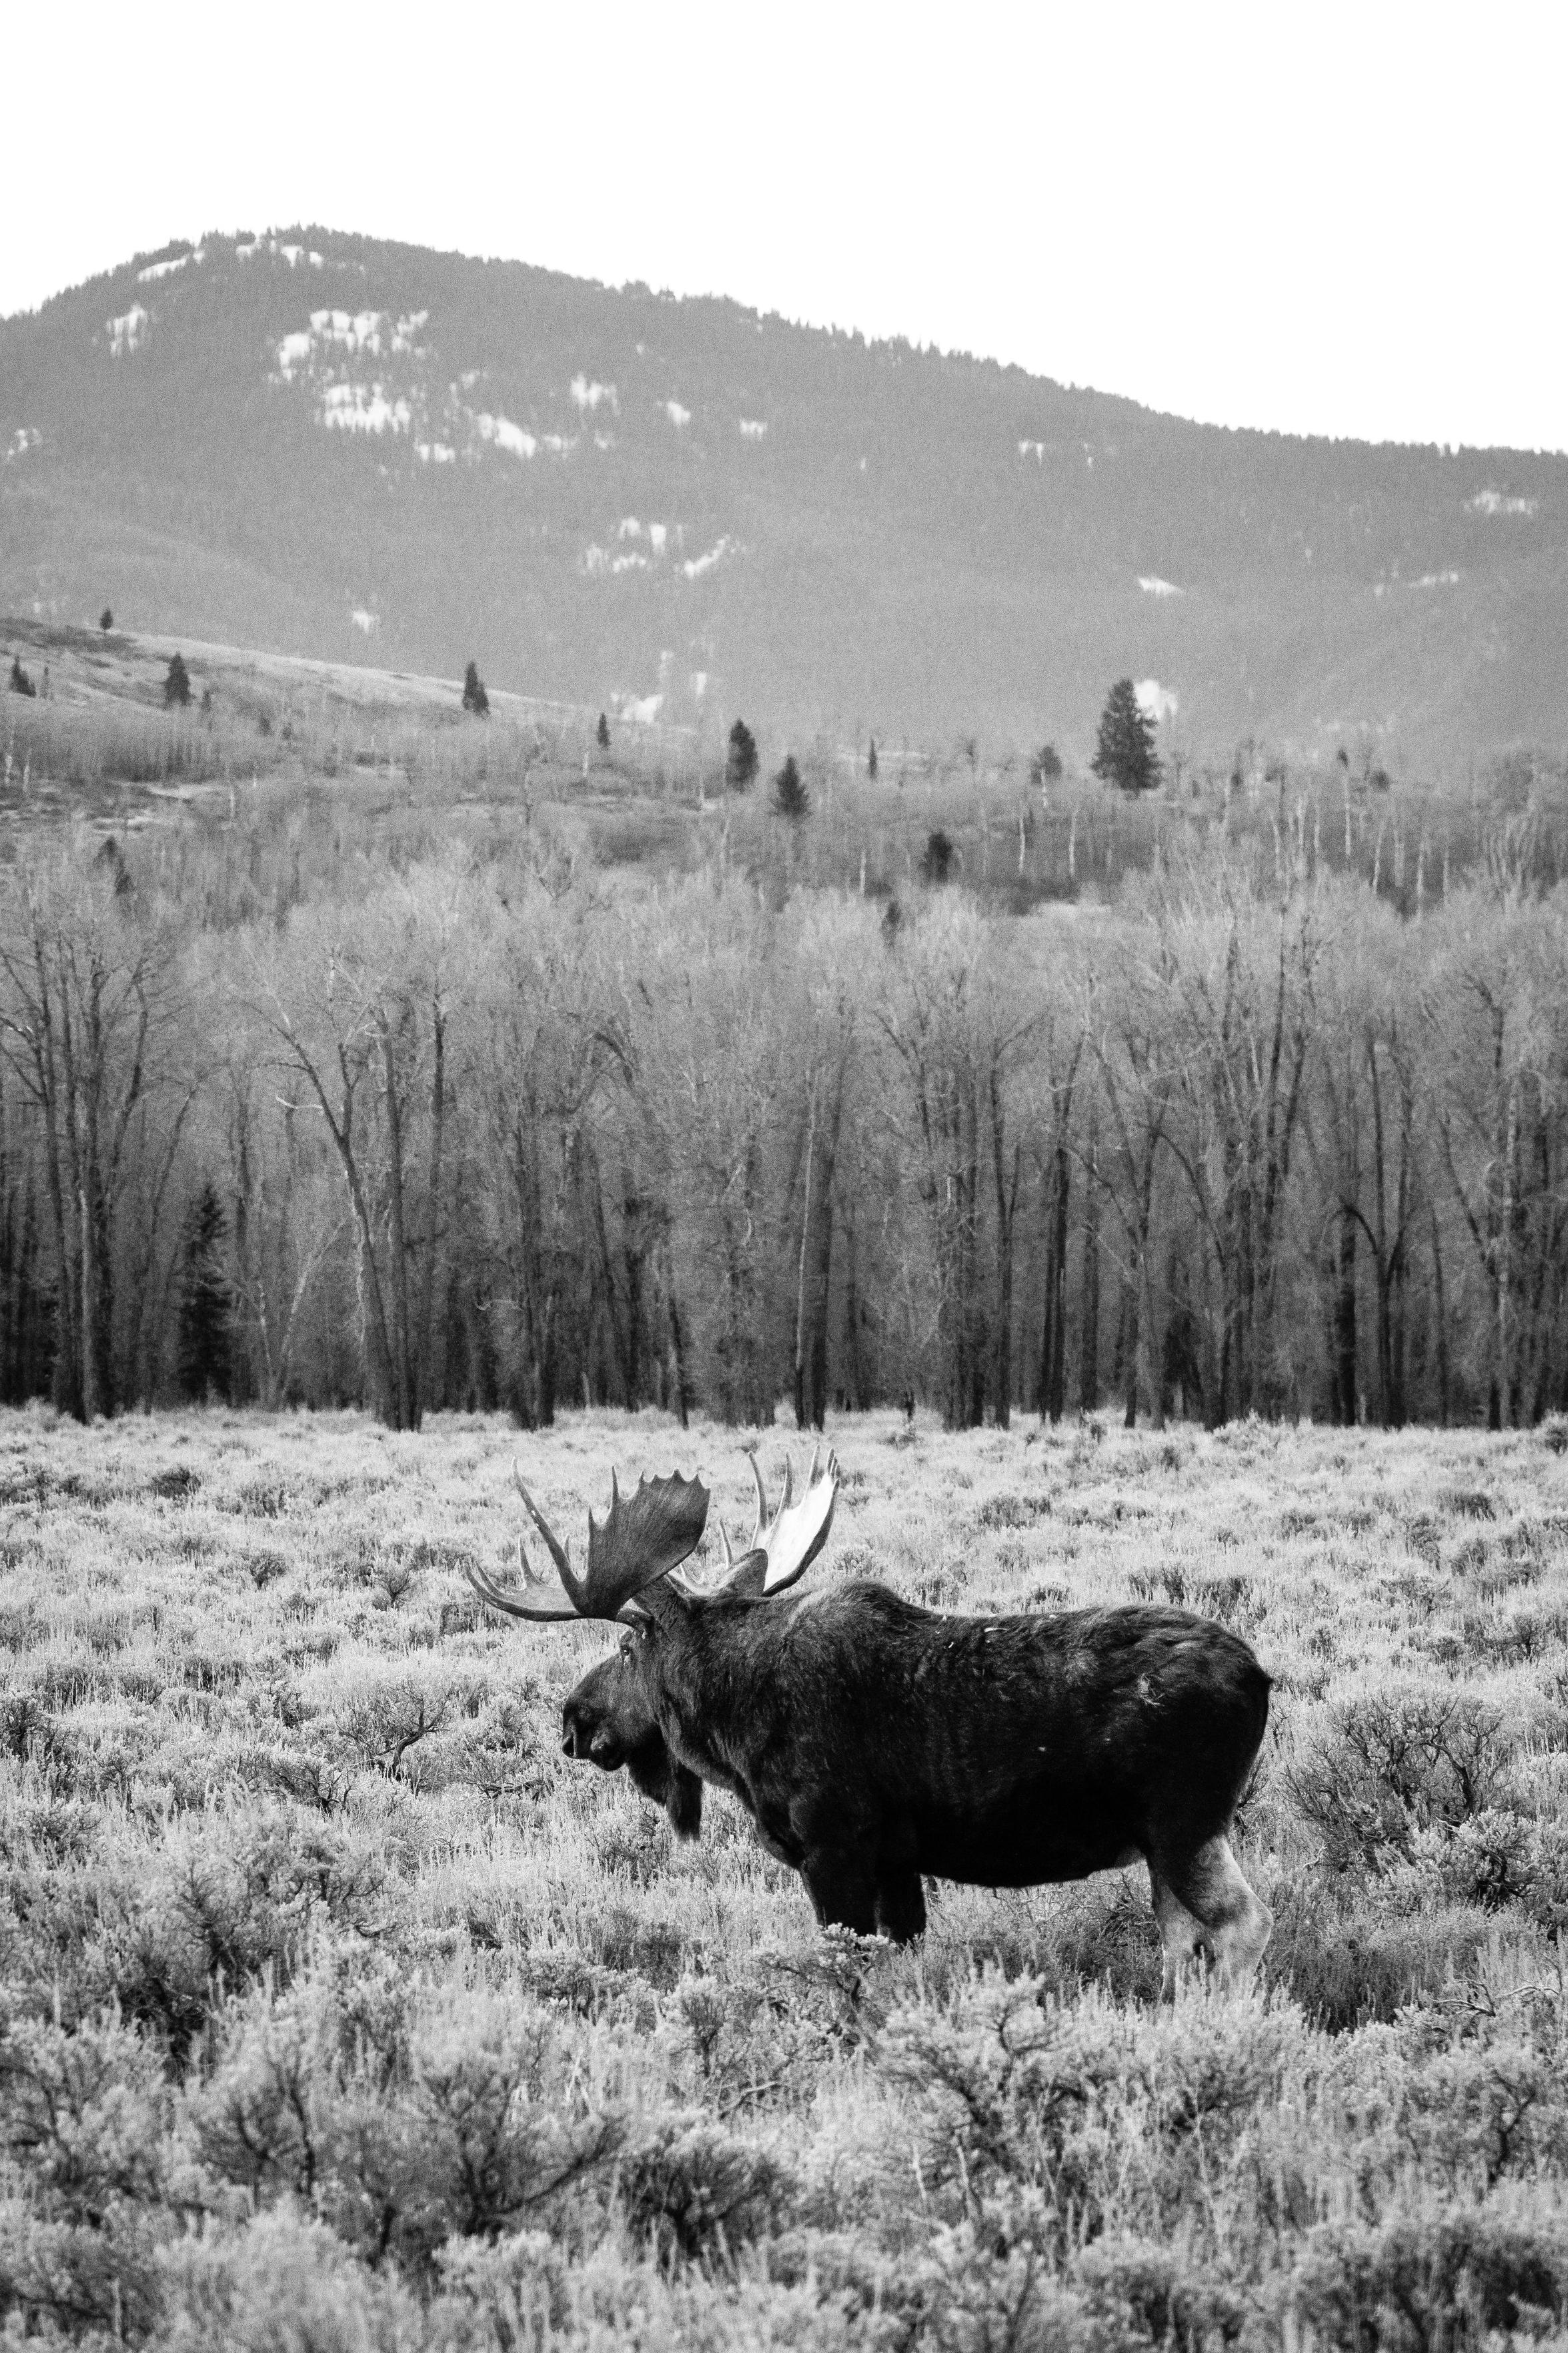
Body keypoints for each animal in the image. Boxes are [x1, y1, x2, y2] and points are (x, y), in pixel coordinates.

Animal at [465, 1451, 1273, 1991]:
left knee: (1241, 1922)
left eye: (628, 1645)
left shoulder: (834, 1846)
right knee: (1182, 1940)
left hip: (1182, 1823)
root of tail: (1261, 1678)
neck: (732, 1726)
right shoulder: (896, 1859)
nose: (572, 1719)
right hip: (1164, 1841)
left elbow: (843, 1972)